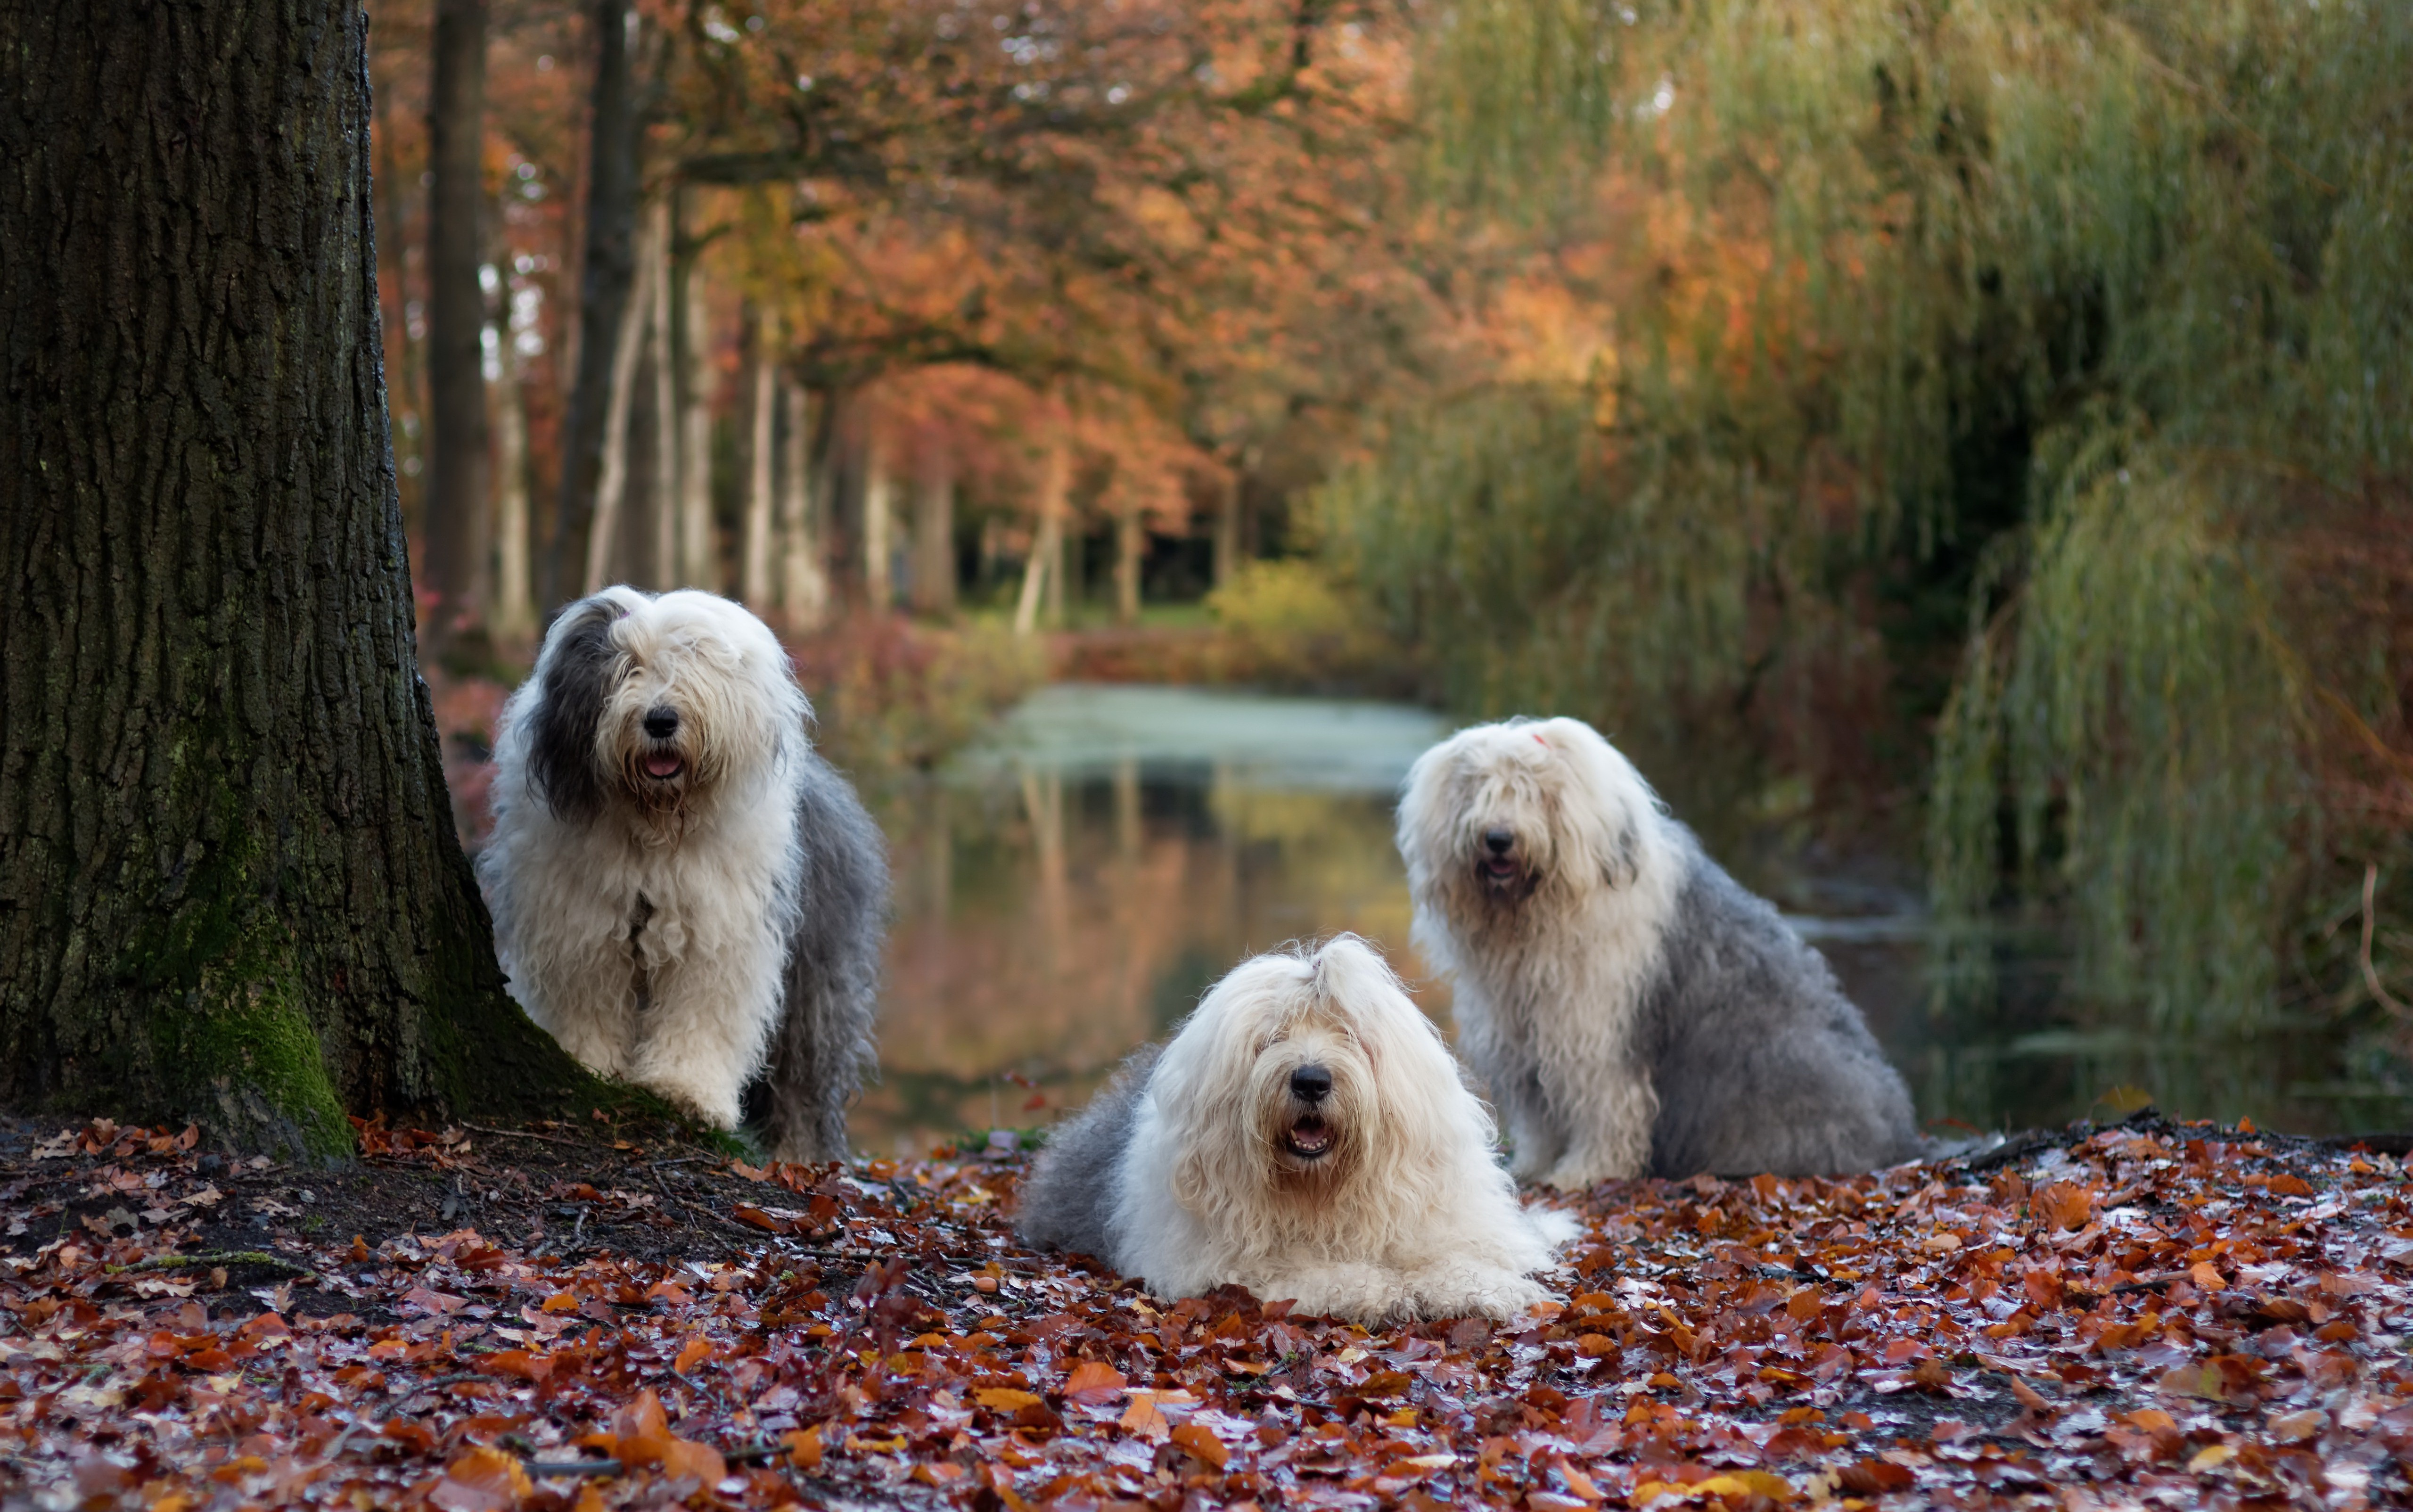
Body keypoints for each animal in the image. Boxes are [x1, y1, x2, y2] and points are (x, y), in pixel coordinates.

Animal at [473, 588, 888, 1157]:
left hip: (817, 986)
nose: (661, 720)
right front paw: (590, 1067)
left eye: (691, 662)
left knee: (803, 1082)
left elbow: (703, 1013)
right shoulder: (580, 930)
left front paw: (685, 1091)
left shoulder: (717, 938)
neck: (655, 830)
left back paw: (801, 1155)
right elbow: (588, 1002)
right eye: (627, 667)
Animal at [1009, 936, 1573, 1321]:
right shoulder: (1225, 1264)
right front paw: (1381, 1290)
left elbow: (1458, 1259)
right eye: (1272, 1037)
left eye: (1349, 1034)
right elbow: (1316, 1275)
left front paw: (1489, 1288)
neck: (1320, 1192)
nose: (1311, 1080)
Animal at [1399, 714, 1921, 1191]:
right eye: (1477, 790)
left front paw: (1583, 1172)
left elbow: (1603, 1106)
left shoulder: (1594, 1033)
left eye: (1538, 793)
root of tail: (1900, 1136)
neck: (1533, 923)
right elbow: (1538, 1115)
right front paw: (1533, 1165)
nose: (1498, 839)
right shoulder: (1523, 1037)